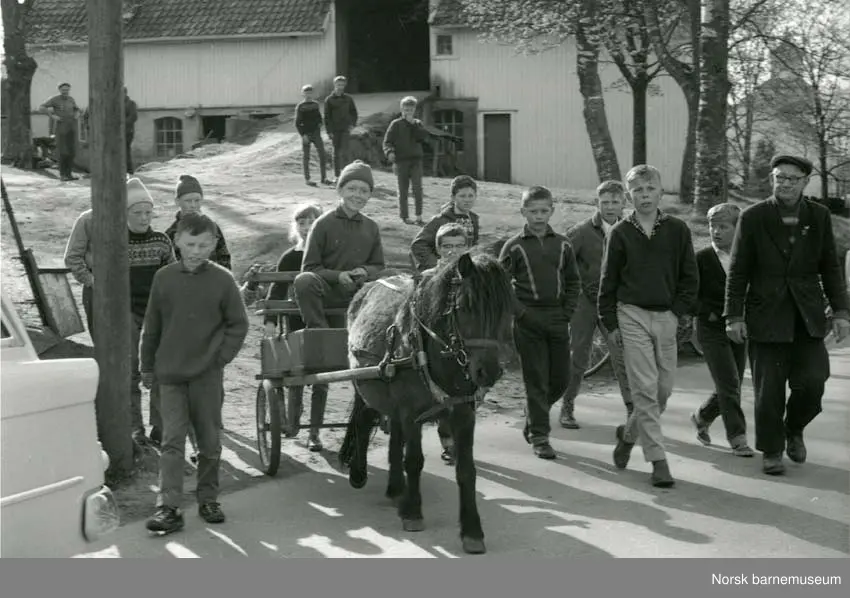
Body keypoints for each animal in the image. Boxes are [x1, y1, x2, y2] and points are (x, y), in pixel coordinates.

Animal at [336, 251, 510, 556]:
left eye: (504, 309)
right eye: (465, 307)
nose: (488, 372)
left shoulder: (464, 412)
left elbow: (466, 470)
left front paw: (472, 530)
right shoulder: (411, 411)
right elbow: (414, 460)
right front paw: (413, 513)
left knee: (393, 434)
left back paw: (396, 488)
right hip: (363, 381)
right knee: (363, 419)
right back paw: (359, 473)